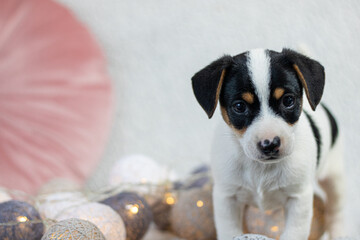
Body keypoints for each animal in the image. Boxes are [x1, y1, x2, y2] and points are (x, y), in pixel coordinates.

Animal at [193, 47, 344, 239]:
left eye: (288, 100)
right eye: (239, 106)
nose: (270, 143)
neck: (260, 167)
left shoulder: (298, 198)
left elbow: (294, 233)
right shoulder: (227, 197)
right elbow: (230, 231)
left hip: (335, 178)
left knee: (336, 209)